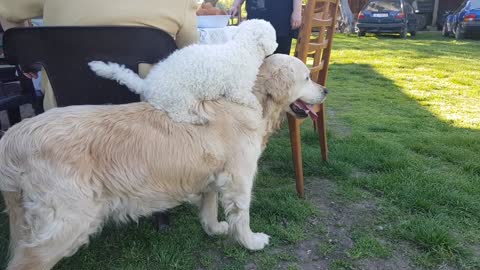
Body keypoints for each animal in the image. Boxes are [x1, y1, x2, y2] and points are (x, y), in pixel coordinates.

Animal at [89, 19, 278, 124]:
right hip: (181, 97)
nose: (276, 46)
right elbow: (252, 100)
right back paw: (197, 120)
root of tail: (147, 84)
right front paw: (259, 109)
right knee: (177, 116)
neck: (243, 47)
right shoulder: (238, 91)